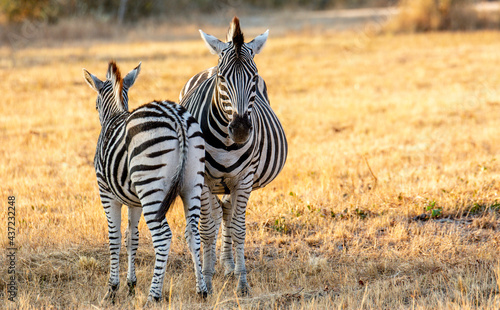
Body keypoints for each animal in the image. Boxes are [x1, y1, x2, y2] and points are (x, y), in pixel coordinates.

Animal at [83, 60, 208, 302]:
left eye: (94, 107)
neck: (114, 116)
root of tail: (176, 117)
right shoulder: (134, 201)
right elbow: (132, 238)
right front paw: (131, 285)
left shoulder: (106, 192)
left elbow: (114, 238)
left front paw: (112, 289)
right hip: (193, 183)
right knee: (193, 234)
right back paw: (202, 291)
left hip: (152, 188)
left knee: (163, 237)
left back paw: (154, 296)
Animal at [180, 17, 290, 296]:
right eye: (222, 78)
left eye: (254, 77)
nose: (240, 129)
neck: (226, 145)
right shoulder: (203, 180)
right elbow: (207, 228)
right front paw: (206, 280)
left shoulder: (244, 179)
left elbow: (239, 228)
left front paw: (242, 282)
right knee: (217, 213)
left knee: (227, 211)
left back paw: (229, 264)